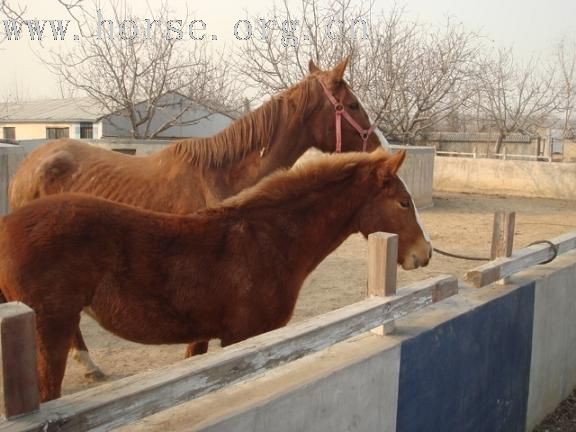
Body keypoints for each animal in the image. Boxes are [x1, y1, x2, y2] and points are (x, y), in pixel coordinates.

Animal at [0, 148, 428, 402]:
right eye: (403, 203)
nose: (423, 254)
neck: (267, 239)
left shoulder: (203, 334)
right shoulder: (244, 336)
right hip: (49, 330)